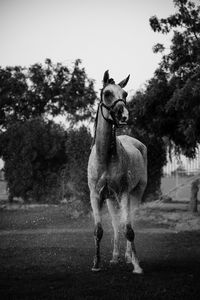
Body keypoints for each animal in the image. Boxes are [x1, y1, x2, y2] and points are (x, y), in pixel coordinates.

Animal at [87, 71, 147, 274]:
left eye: (125, 94)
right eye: (107, 93)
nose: (124, 115)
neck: (105, 157)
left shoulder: (124, 194)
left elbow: (129, 229)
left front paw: (137, 266)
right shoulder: (96, 196)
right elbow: (99, 230)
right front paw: (96, 264)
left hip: (135, 193)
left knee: (130, 221)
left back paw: (129, 257)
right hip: (111, 199)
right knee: (115, 224)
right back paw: (115, 257)